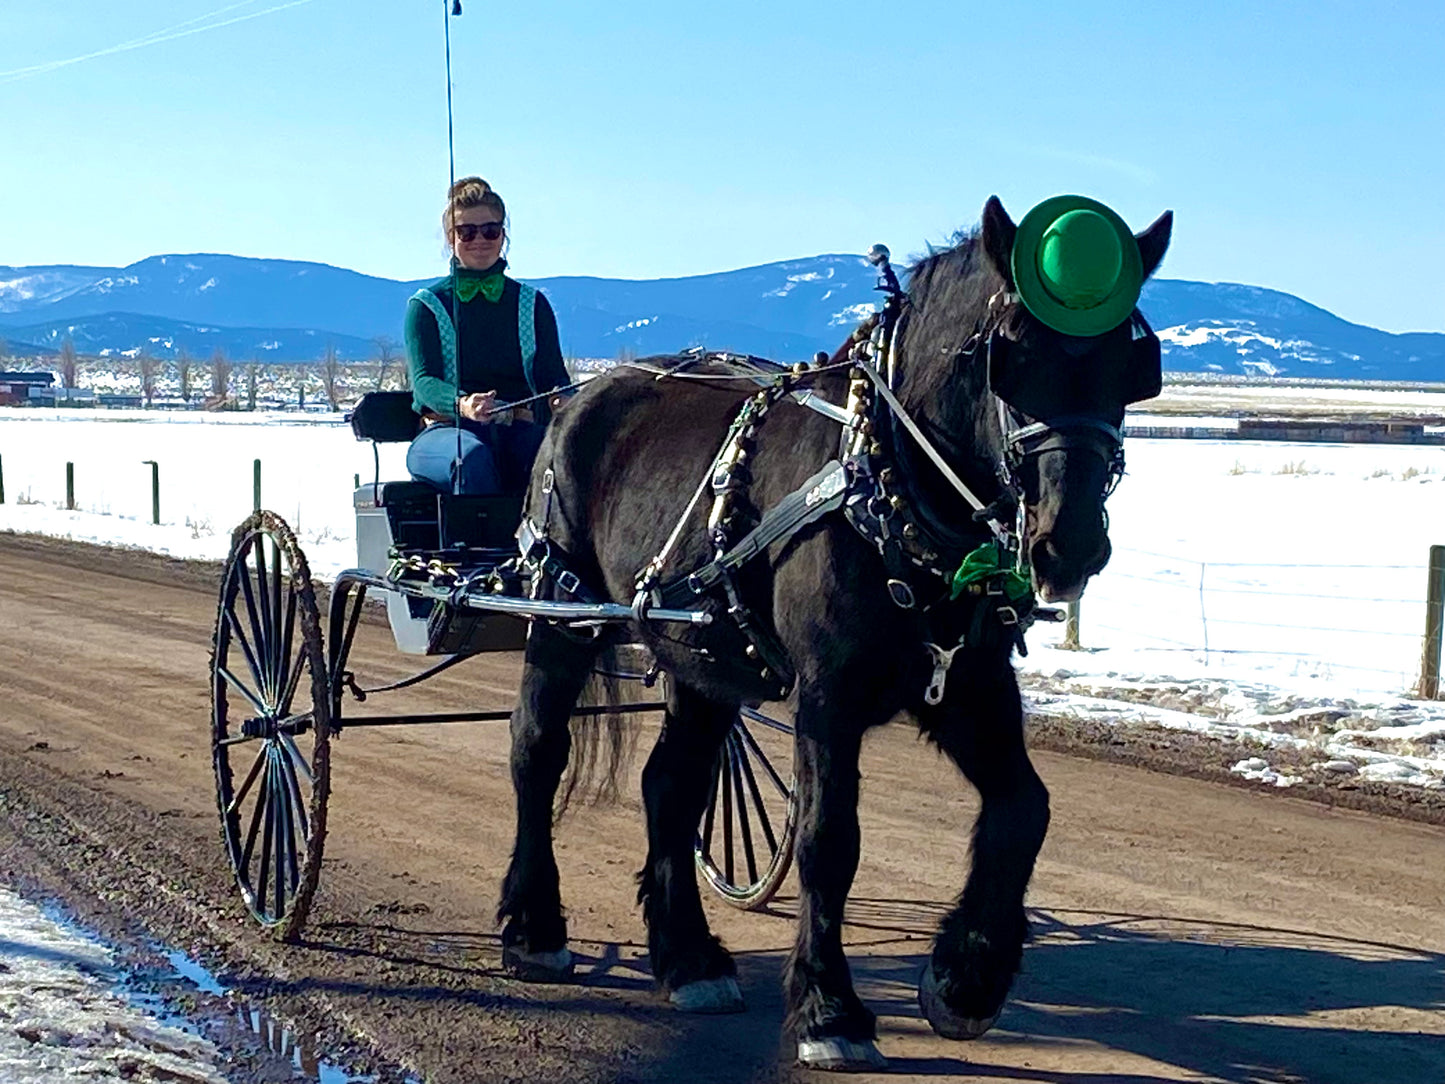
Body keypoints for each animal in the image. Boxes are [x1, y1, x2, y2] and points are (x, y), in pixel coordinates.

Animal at [497, 195, 1173, 1069]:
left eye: (1133, 366)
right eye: (1011, 356)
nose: (1071, 543)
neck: (888, 486)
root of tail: (581, 393)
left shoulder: (967, 683)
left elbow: (1024, 808)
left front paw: (965, 978)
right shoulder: (827, 695)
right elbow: (829, 839)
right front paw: (828, 1009)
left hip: (701, 656)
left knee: (669, 786)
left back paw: (688, 959)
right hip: (561, 616)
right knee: (537, 752)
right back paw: (534, 930)